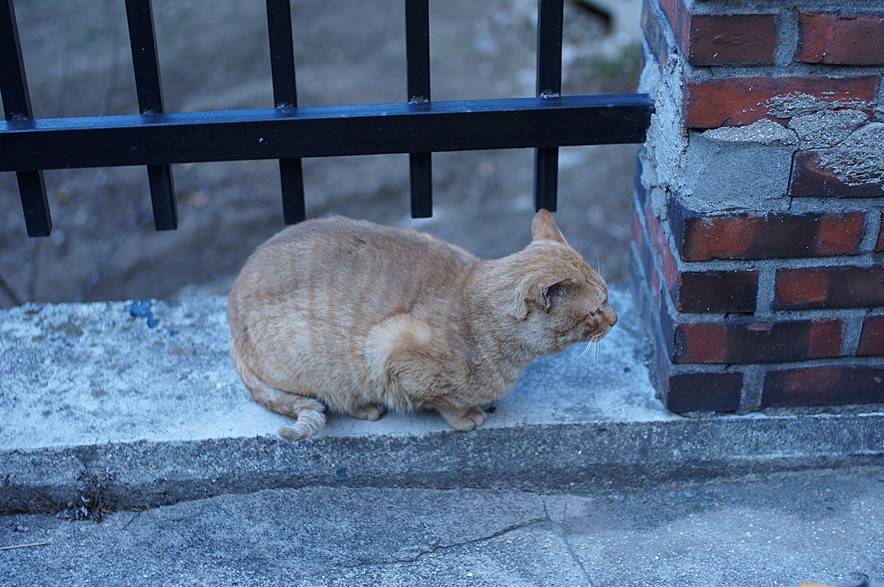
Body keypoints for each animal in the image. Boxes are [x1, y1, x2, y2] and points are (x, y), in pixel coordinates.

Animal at [226, 211, 616, 440]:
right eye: (594, 312)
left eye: (608, 296)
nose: (615, 319)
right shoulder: (391, 348)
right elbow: (442, 400)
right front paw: (466, 416)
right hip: (328, 362)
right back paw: (366, 406)